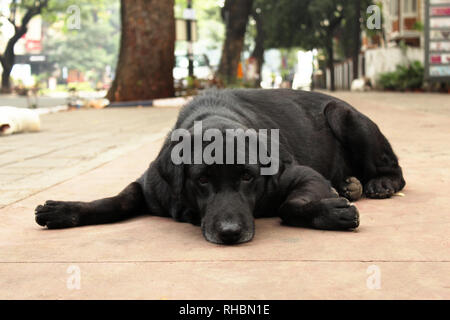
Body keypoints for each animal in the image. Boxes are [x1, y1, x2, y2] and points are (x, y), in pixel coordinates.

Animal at [35, 90, 406, 245]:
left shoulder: (303, 175)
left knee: (397, 173)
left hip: (342, 115)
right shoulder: (150, 185)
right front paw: (64, 210)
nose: (229, 233)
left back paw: (378, 184)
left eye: (247, 176)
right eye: (201, 179)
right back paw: (349, 185)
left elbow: (288, 206)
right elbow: (117, 200)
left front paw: (332, 213)